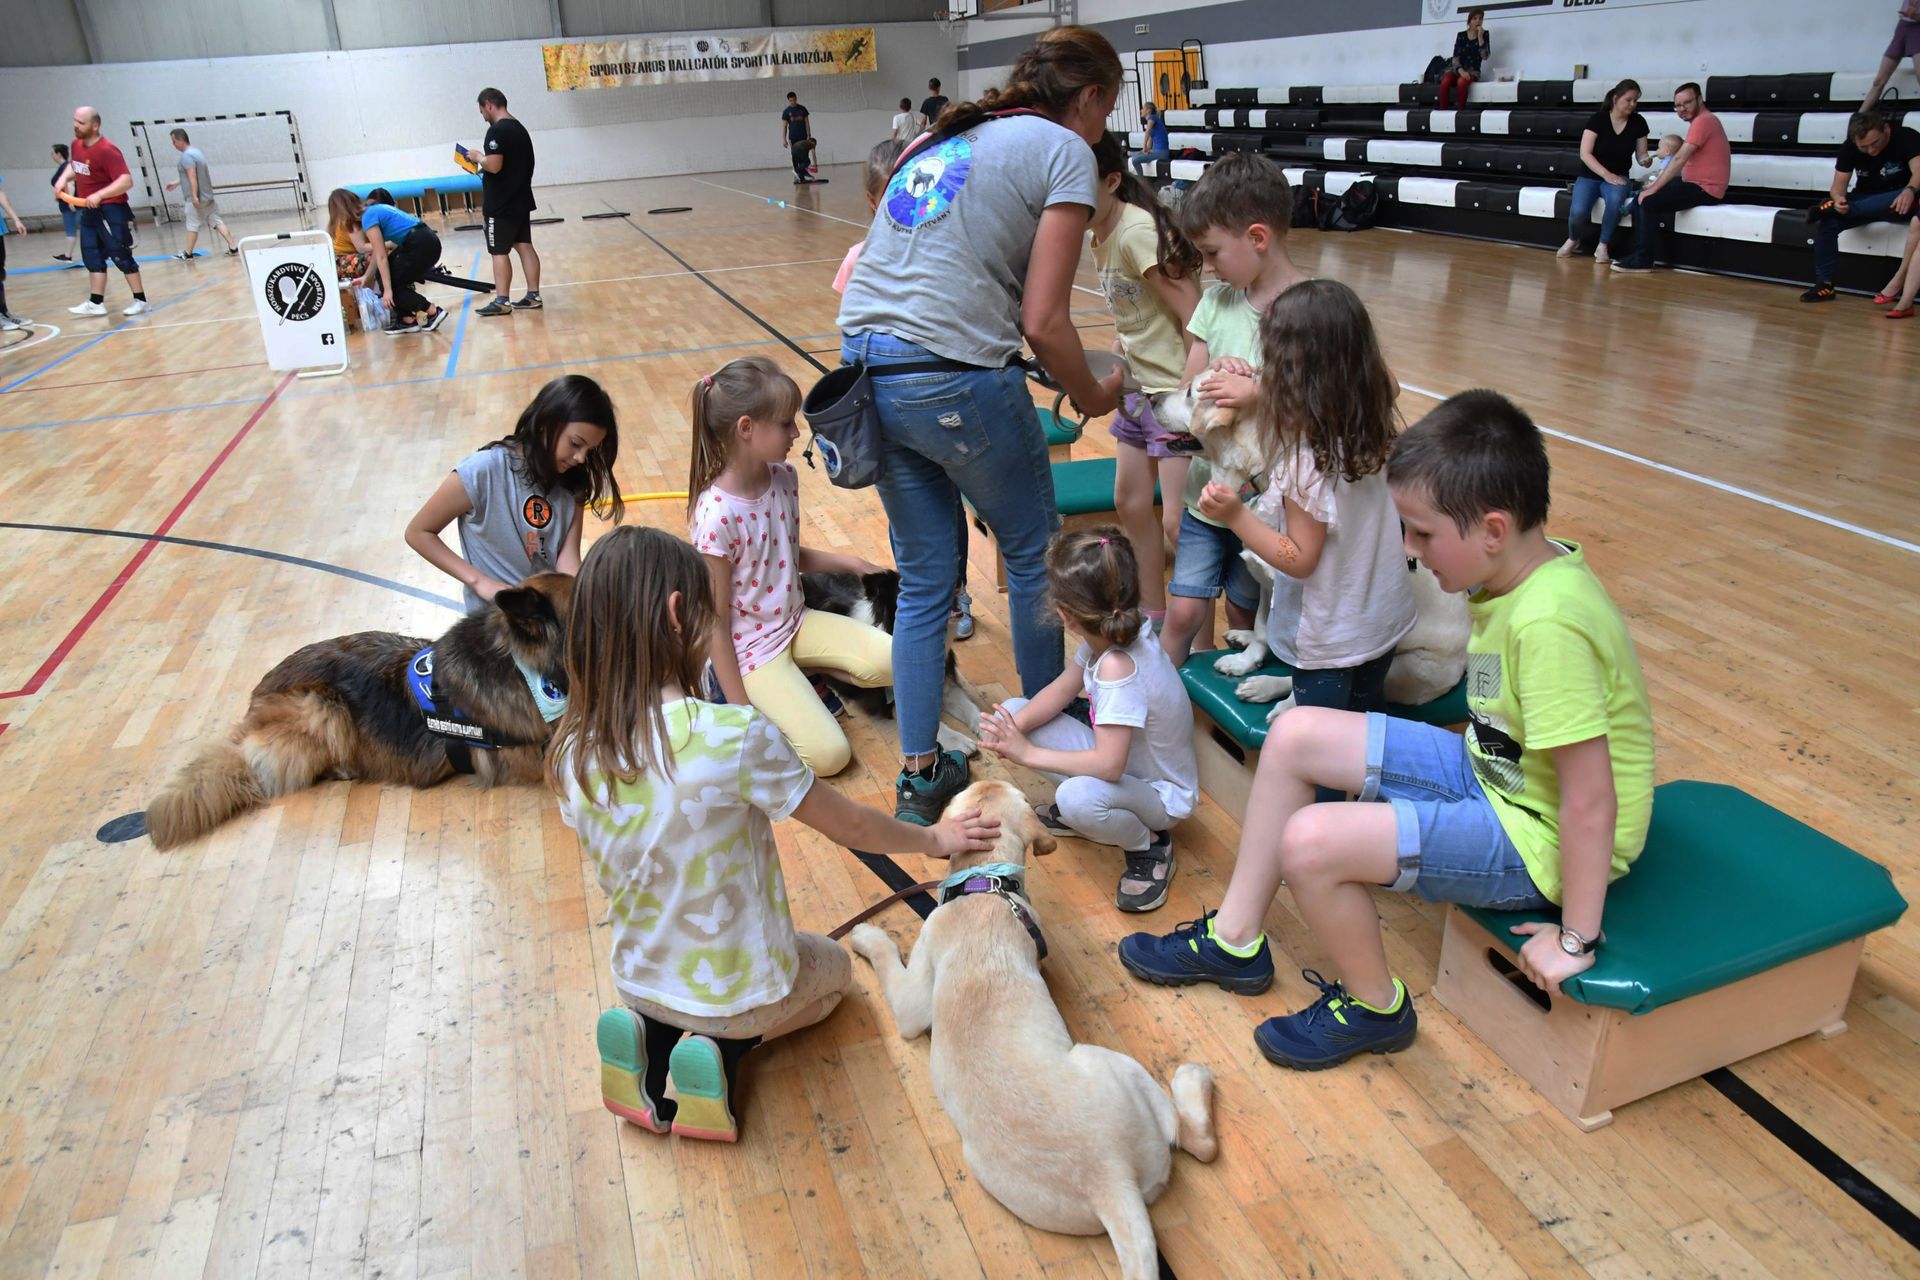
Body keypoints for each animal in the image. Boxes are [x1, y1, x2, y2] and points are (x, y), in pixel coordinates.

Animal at [850, 780, 1218, 1280]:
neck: (985, 887)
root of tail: (1112, 1181)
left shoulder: (911, 1002)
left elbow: (889, 959)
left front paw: (865, 937)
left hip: (1107, 1061)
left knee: (1199, 1140)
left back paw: (1191, 1077)